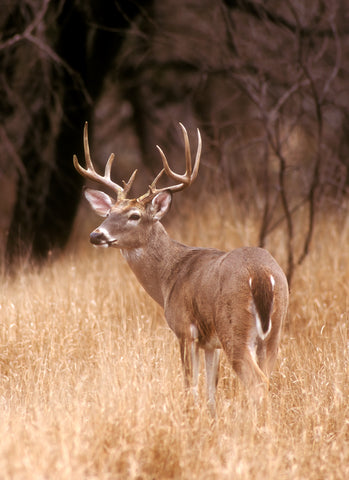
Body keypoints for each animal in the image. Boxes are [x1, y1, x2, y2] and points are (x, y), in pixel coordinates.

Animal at [73, 123, 288, 416]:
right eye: (108, 214)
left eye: (134, 216)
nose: (96, 235)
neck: (168, 277)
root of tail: (262, 274)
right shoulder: (210, 343)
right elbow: (211, 389)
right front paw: (210, 419)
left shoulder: (185, 329)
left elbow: (190, 386)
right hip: (274, 331)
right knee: (267, 380)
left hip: (234, 328)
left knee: (256, 383)